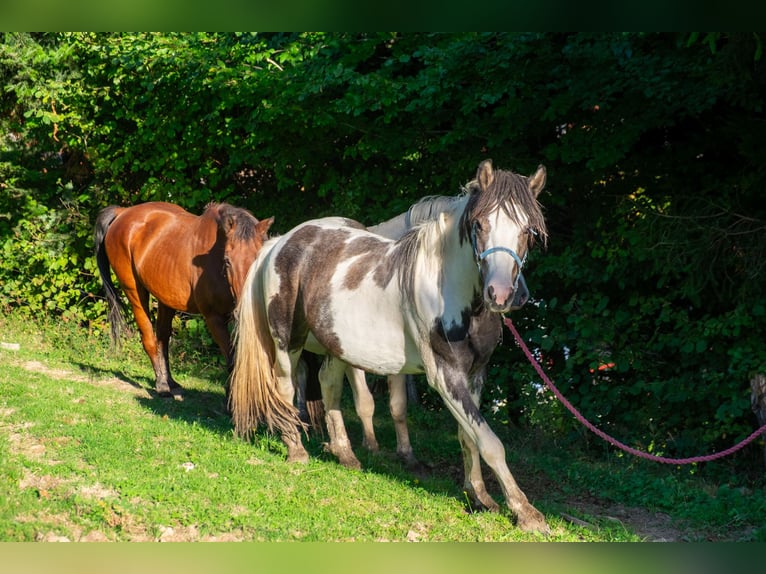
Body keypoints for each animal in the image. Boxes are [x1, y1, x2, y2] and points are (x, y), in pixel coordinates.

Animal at [94, 201, 273, 398]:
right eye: (227, 261)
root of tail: (123, 212)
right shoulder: (214, 318)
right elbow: (232, 360)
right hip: (134, 292)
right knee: (149, 338)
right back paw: (162, 384)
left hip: (165, 299)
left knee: (163, 338)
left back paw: (170, 381)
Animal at [229, 159, 550, 533]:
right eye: (480, 224)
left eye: (528, 231)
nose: (501, 294)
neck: (449, 290)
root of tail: (282, 242)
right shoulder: (444, 375)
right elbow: (490, 442)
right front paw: (525, 512)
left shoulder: (475, 374)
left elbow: (468, 436)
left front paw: (479, 496)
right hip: (287, 343)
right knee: (284, 388)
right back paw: (296, 450)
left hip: (334, 344)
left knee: (329, 385)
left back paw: (345, 454)